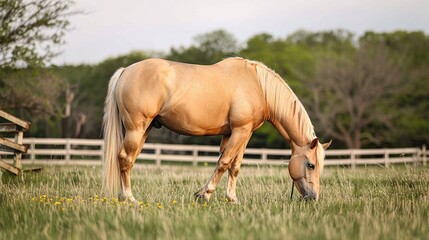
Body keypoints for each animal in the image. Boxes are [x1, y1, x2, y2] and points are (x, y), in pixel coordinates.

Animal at [102, 57, 330, 202]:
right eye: (311, 165)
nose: (313, 198)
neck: (259, 87)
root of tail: (125, 71)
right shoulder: (241, 131)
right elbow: (224, 162)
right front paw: (206, 194)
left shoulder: (239, 133)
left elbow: (233, 165)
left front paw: (231, 198)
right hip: (136, 128)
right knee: (125, 159)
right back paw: (129, 198)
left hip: (145, 129)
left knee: (127, 160)